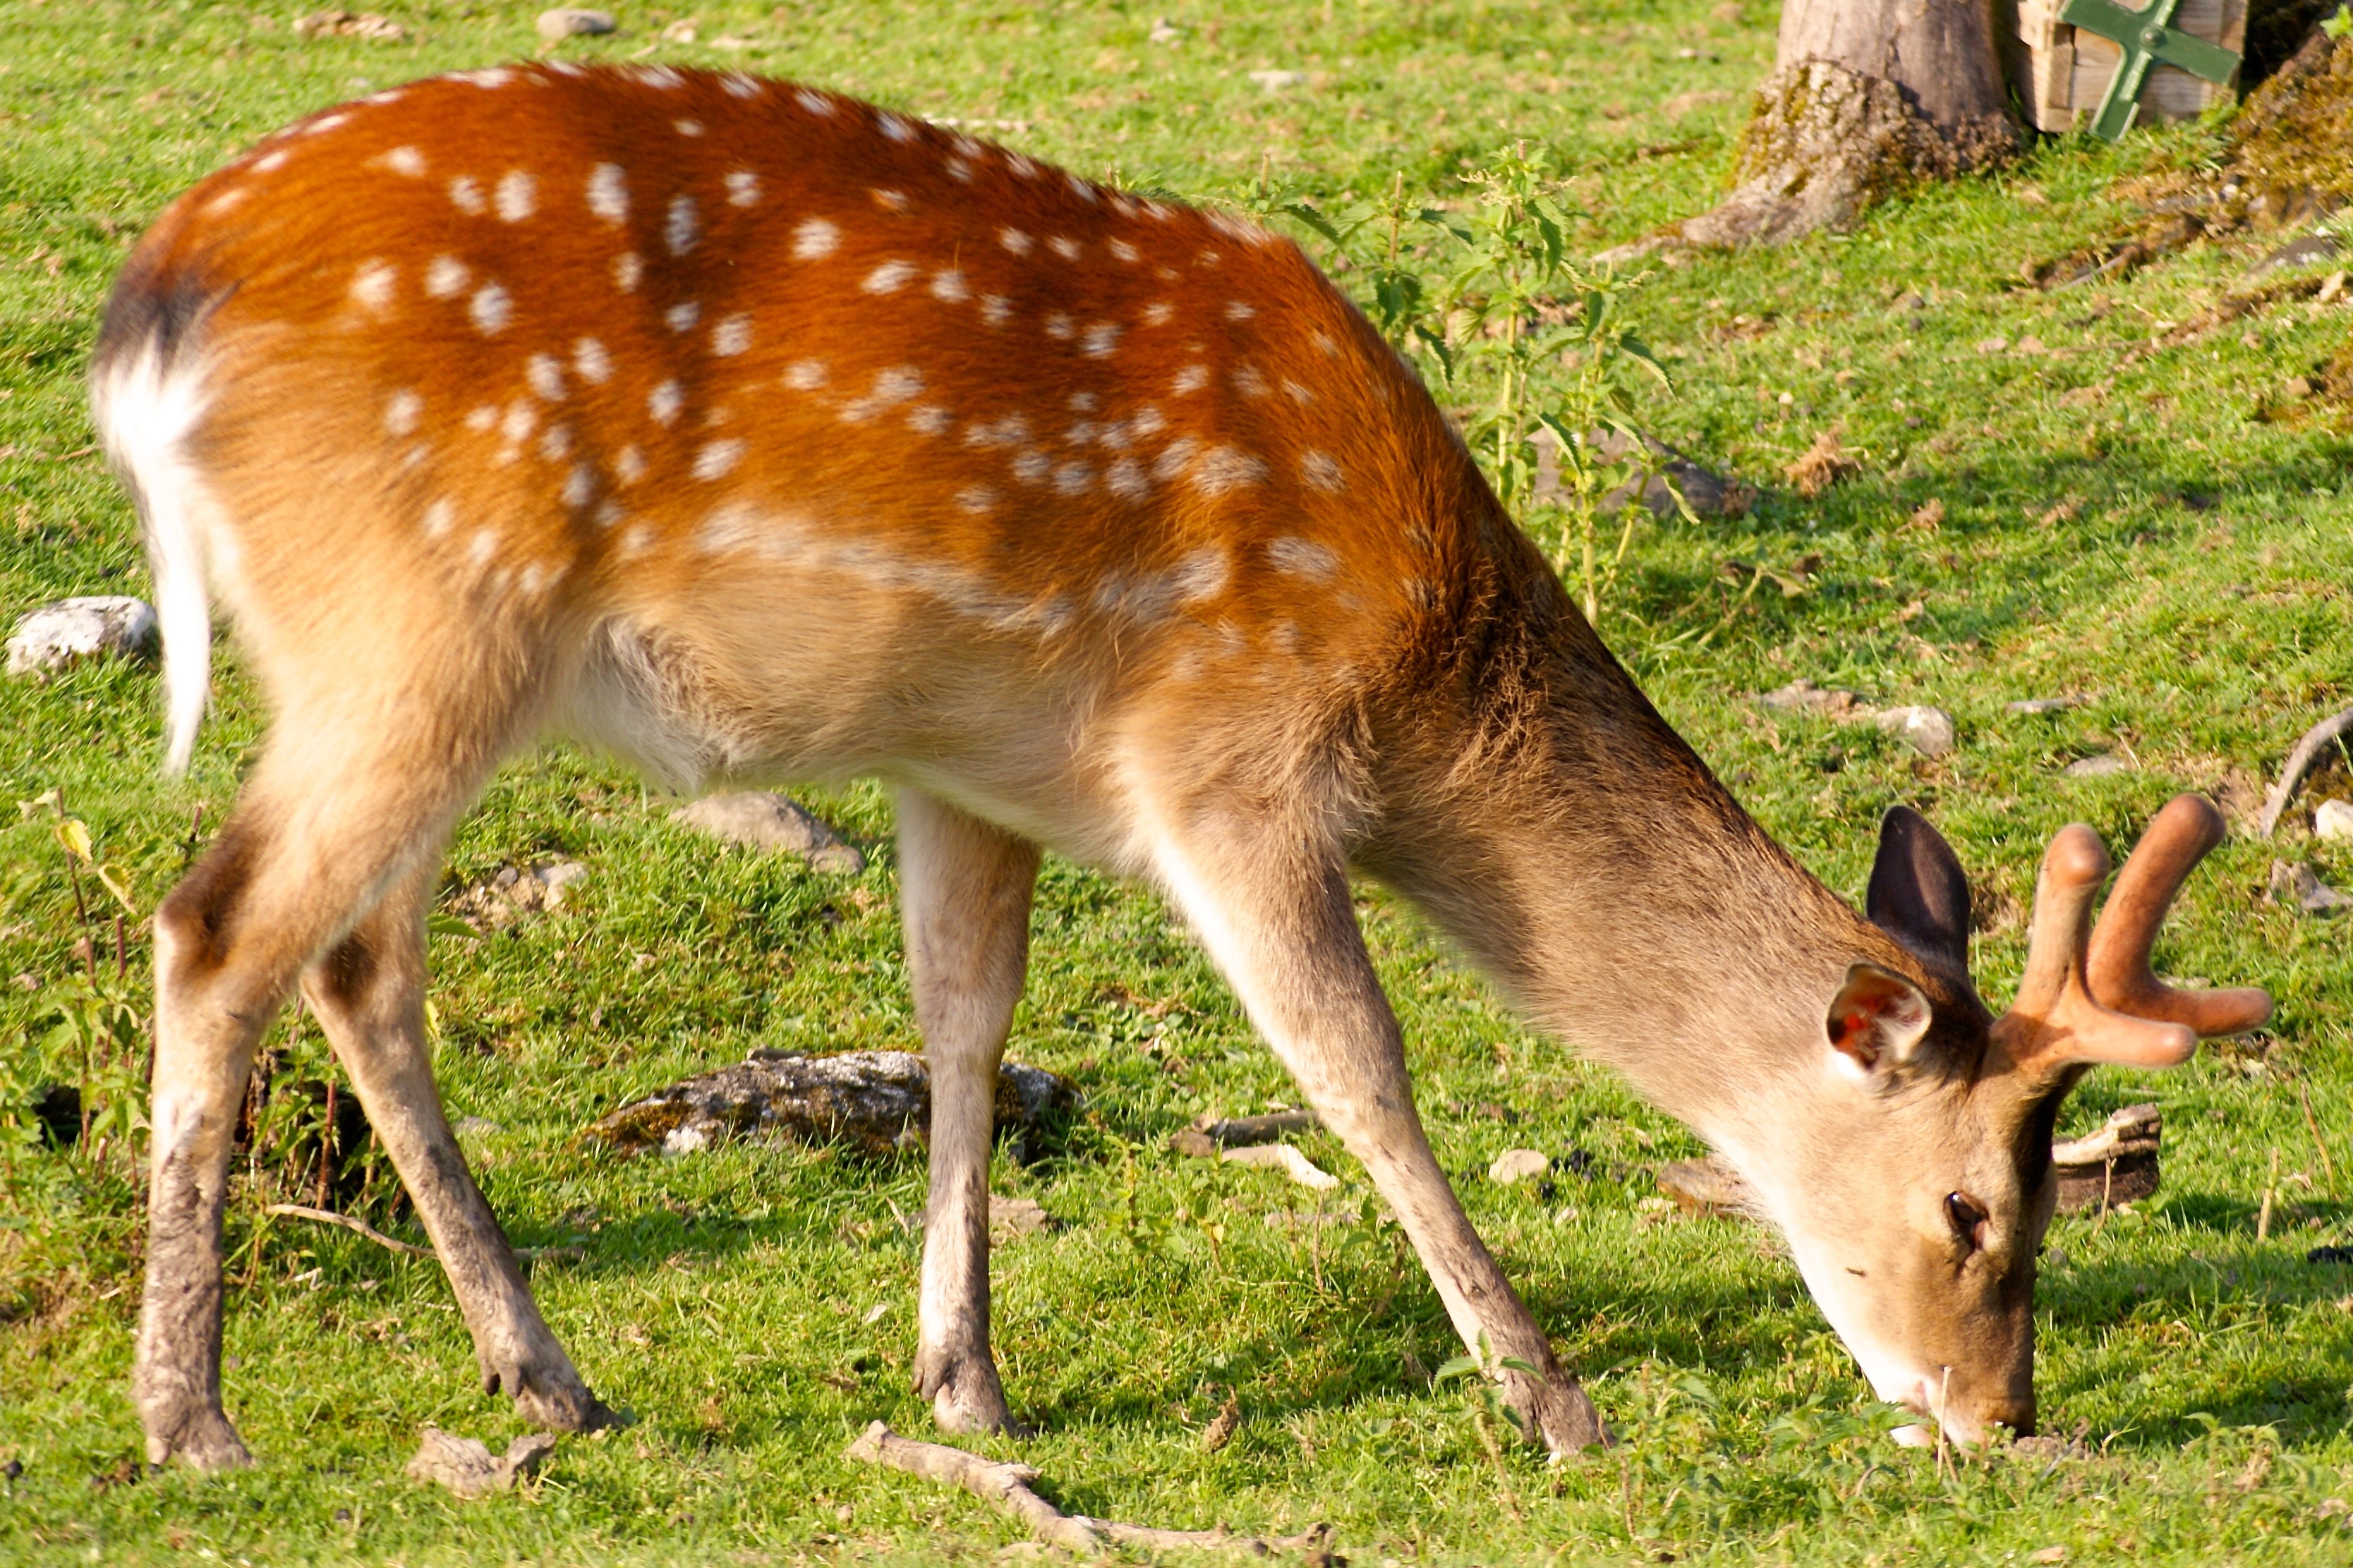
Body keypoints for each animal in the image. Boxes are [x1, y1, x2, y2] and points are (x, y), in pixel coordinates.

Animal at [87, 64, 2258, 1476]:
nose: (1996, 1413)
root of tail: (149, 309)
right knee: (217, 927)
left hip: (408, 656)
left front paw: (961, 1378)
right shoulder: (1225, 753)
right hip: (415, 610)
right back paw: (193, 1417)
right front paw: (1550, 1395)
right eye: (1978, 1207)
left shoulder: (968, 765)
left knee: (359, 962)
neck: (1425, 673)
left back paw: (546, 1376)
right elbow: (1355, 1065)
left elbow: (962, 1026)